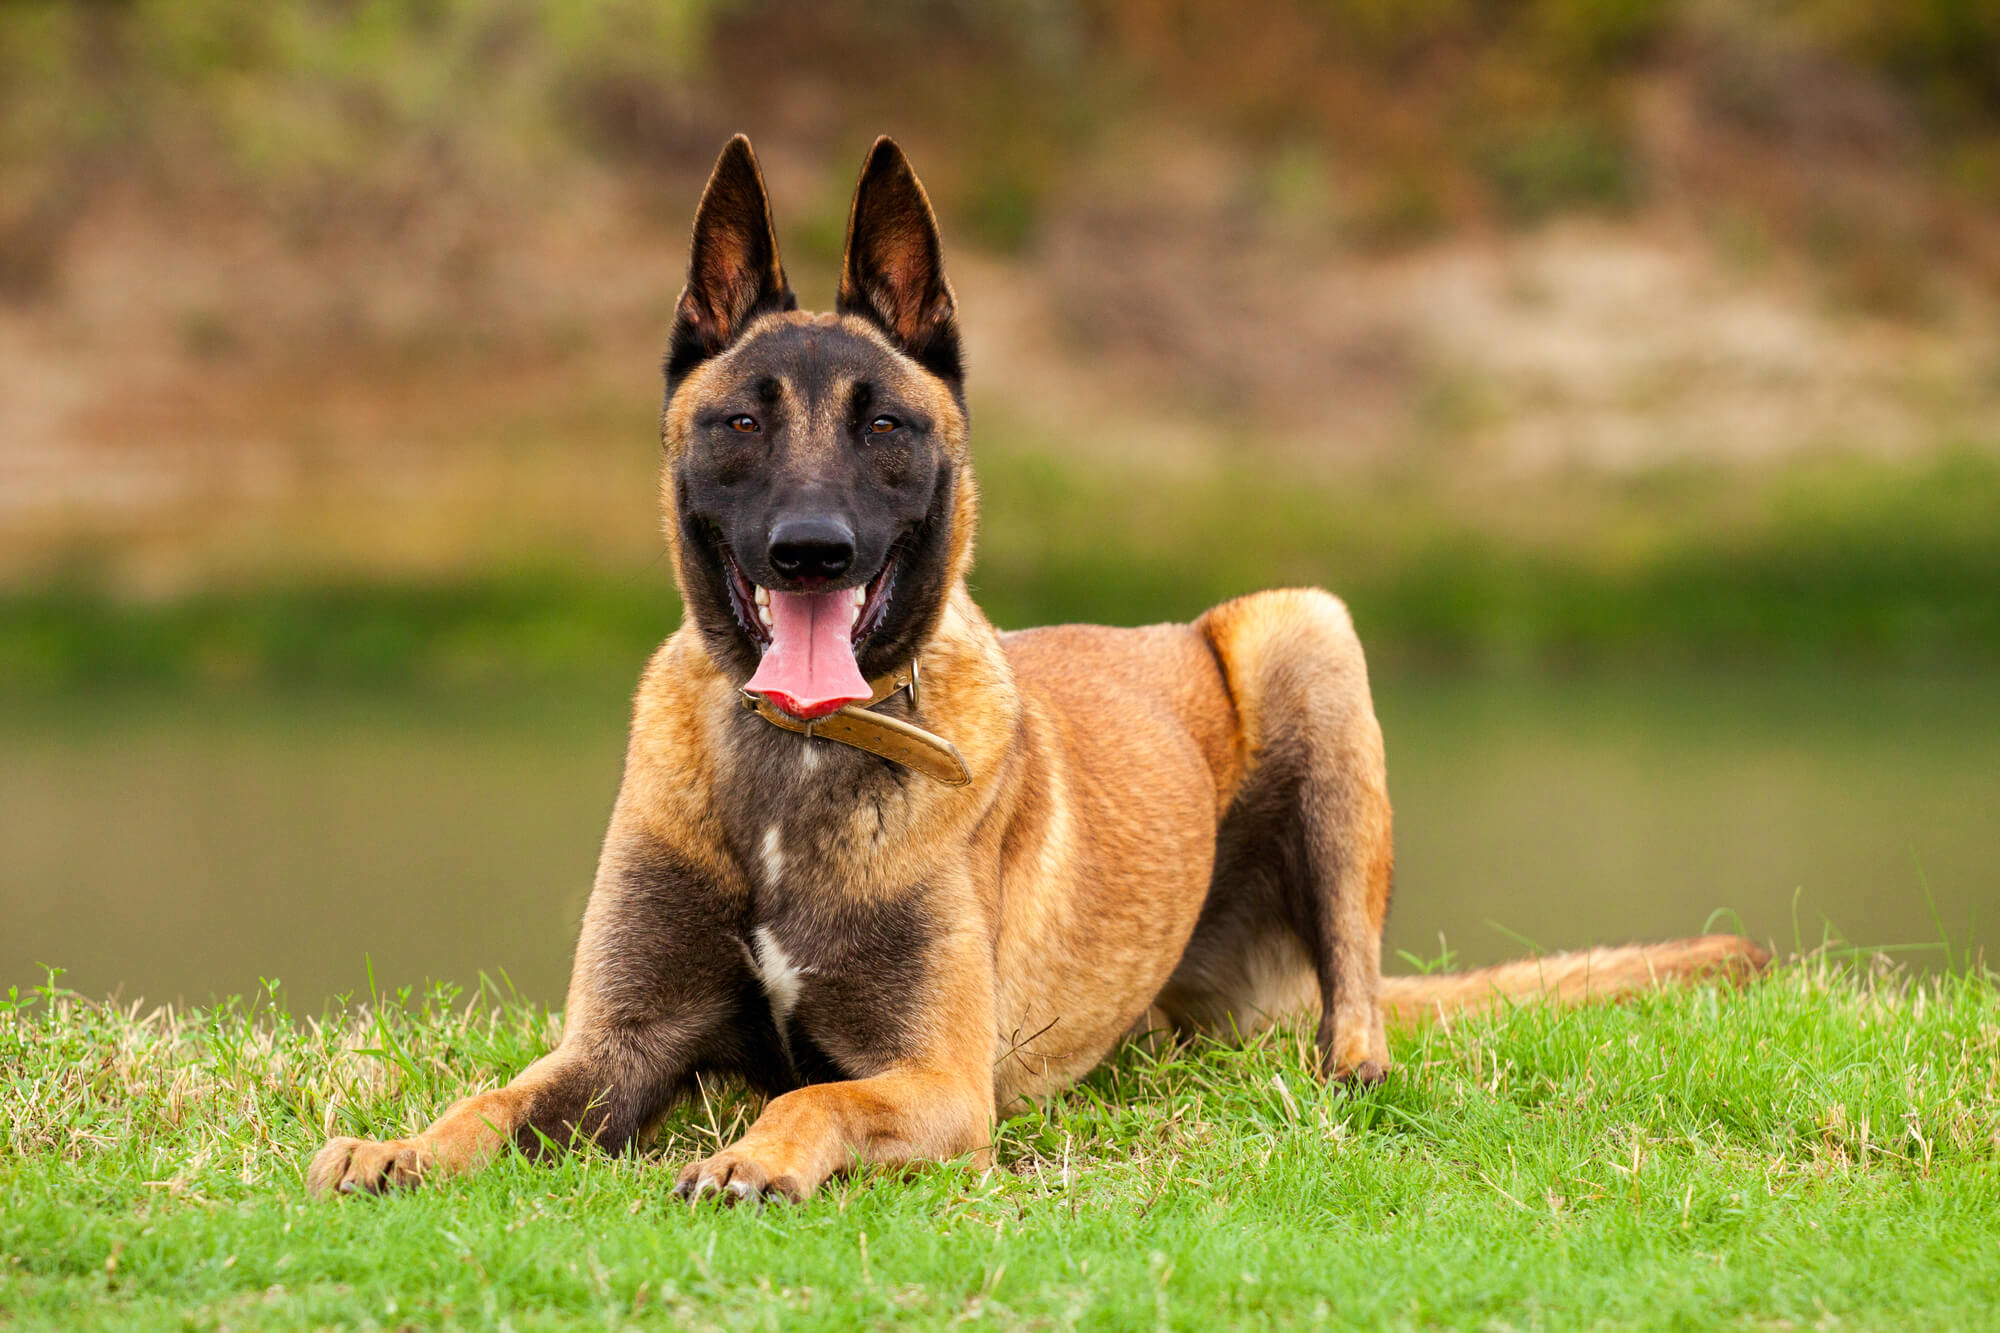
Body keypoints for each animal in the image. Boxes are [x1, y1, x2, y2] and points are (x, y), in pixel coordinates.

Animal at [304, 137, 1776, 1200]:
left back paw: (1347, 1070)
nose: (809, 550)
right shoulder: (614, 1046)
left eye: (886, 425)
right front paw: (403, 1145)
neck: (797, 765)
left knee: (1360, 1001)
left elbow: (811, 1090)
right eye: (738, 422)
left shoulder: (938, 1079)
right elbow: (496, 1095)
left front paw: (754, 1155)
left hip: (1302, 630)